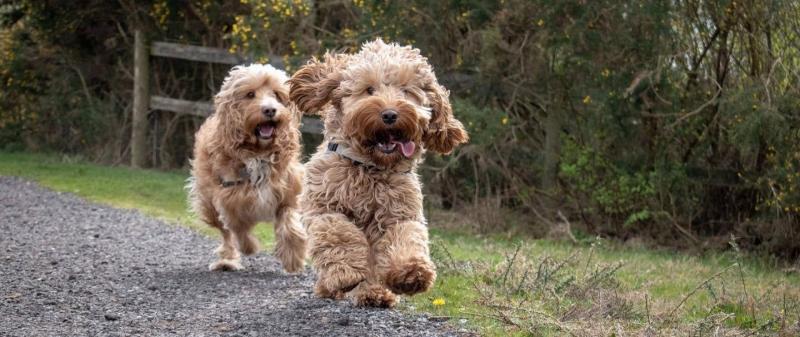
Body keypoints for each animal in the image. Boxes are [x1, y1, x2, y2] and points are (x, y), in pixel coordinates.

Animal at [188, 63, 306, 272]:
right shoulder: (229, 198)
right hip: (208, 202)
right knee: (225, 233)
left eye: (276, 95)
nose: (270, 110)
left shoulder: (288, 191)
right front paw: (249, 246)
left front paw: (293, 257)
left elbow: (289, 222)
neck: (258, 153)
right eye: (250, 94)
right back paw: (227, 260)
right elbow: (237, 228)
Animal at [290, 38, 468, 306]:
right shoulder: (323, 207)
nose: (390, 114)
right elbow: (339, 233)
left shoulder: (400, 212)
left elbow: (406, 236)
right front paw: (345, 273)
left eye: (406, 90)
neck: (369, 167)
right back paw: (330, 286)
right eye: (369, 89)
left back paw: (375, 293)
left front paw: (411, 273)